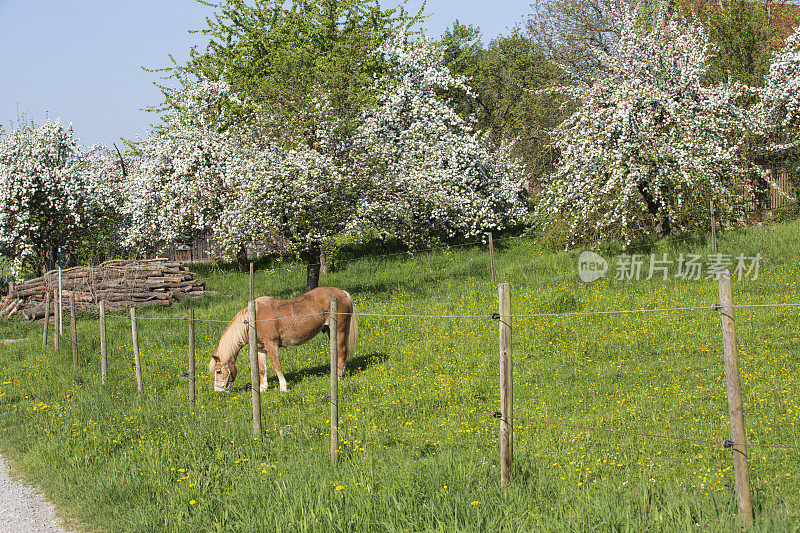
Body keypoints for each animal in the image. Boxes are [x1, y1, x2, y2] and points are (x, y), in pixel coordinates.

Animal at [209, 286, 356, 390]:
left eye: (218, 371)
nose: (218, 390)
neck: (254, 319)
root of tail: (342, 293)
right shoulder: (261, 349)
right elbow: (262, 369)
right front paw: (263, 389)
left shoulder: (272, 345)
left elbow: (276, 366)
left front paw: (283, 388)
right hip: (331, 331)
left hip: (339, 330)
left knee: (342, 351)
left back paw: (338, 377)